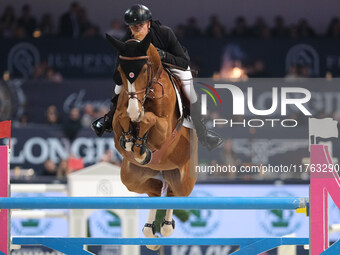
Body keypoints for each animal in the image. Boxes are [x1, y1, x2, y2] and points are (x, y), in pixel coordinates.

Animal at [105, 32, 197, 250]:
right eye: (121, 70)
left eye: (144, 69)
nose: (134, 110)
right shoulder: (117, 120)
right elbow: (121, 118)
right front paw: (131, 140)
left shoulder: (164, 128)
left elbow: (149, 119)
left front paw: (140, 145)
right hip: (131, 178)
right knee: (156, 190)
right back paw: (151, 232)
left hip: (184, 178)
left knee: (174, 193)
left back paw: (166, 227)